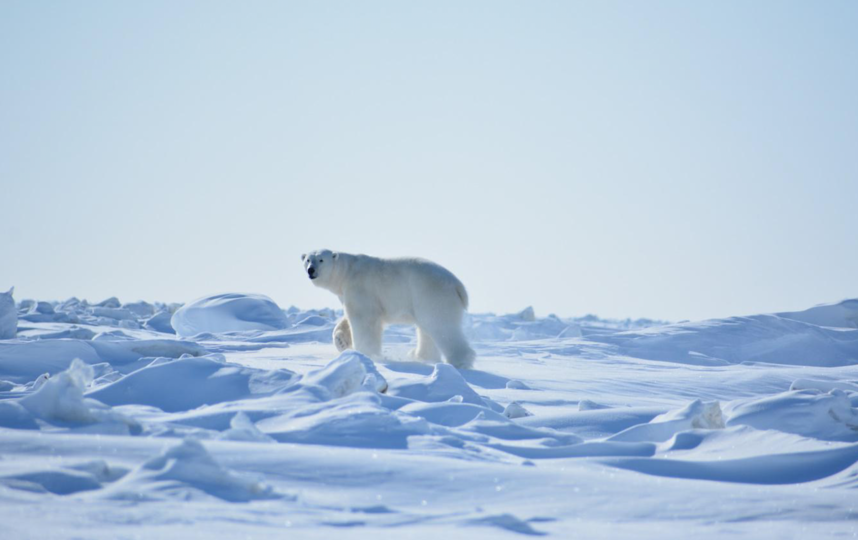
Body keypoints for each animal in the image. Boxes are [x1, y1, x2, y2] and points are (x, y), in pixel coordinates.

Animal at [300, 250, 474, 370]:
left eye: (321, 259)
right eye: (308, 259)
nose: (311, 270)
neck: (347, 272)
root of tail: (458, 286)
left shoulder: (360, 288)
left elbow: (363, 318)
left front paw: (367, 353)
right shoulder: (346, 293)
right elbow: (348, 318)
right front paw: (342, 342)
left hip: (432, 294)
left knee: (441, 326)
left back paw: (460, 362)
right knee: (427, 328)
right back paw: (420, 356)